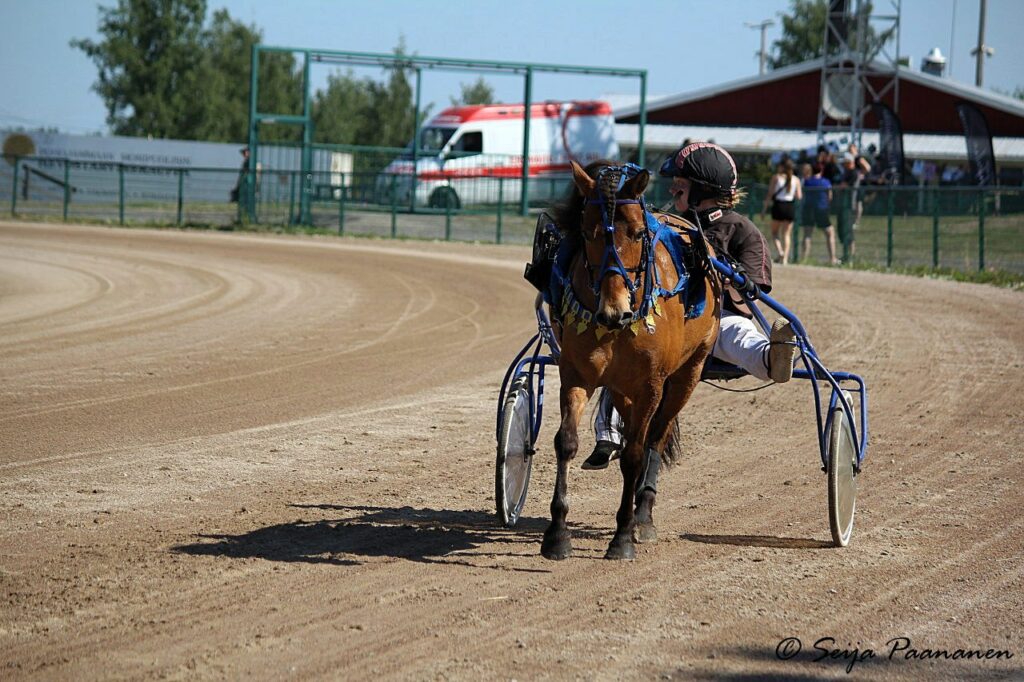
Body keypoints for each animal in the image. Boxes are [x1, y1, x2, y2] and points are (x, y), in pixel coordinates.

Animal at [544, 159, 720, 557]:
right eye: (587, 232)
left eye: (638, 233)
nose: (614, 312)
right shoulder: (576, 375)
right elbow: (566, 443)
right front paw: (557, 532)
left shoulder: (650, 385)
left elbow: (636, 455)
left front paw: (623, 534)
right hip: (623, 388)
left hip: (686, 374)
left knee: (655, 437)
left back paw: (643, 512)